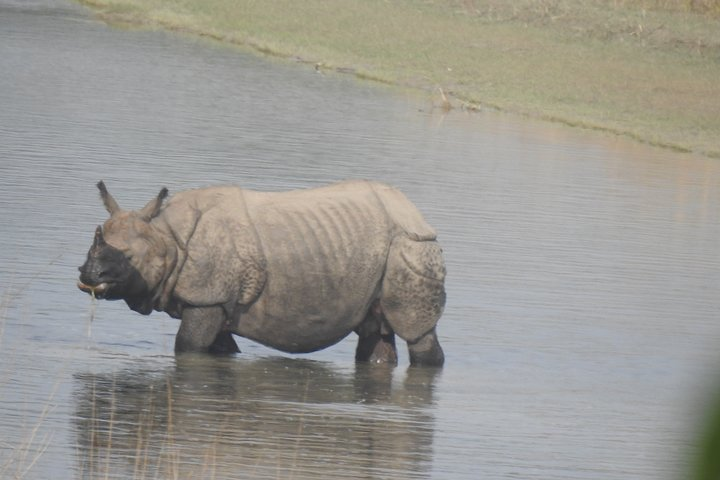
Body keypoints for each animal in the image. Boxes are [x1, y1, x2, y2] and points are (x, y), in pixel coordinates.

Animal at [78, 180, 446, 366]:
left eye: (128, 258)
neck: (166, 237)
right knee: (375, 335)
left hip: (411, 248)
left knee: (417, 333)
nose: (89, 275)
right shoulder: (215, 302)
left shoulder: (207, 298)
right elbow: (221, 348)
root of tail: (418, 214)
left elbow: (188, 346)